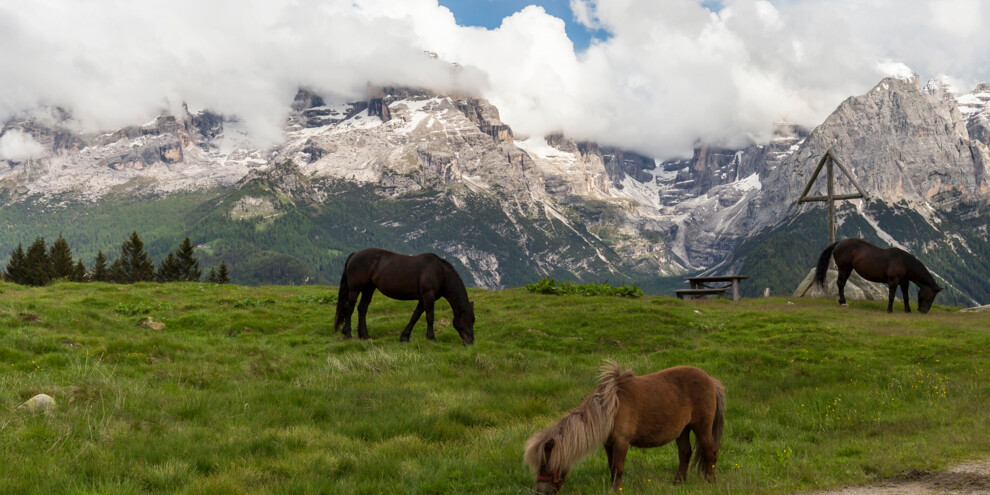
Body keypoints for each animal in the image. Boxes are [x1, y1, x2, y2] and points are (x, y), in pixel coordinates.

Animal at [334, 248, 476, 344]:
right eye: (471, 319)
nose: (470, 341)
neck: (440, 273)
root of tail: (354, 254)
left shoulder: (422, 299)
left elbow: (415, 316)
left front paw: (404, 337)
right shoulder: (428, 296)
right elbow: (430, 317)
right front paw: (431, 338)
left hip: (369, 289)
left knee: (362, 309)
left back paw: (364, 335)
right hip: (355, 289)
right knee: (349, 308)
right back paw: (348, 334)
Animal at [528, 362, 728, 494]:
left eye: (545, 464)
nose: (541, 491)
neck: (610, 410)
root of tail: (711, 380)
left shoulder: (621, 442)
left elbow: (618, 467)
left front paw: (616, 489)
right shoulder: (609, 444)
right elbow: (611, 467)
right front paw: (612, 488)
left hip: (701, 427)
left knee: (710, 451)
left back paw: (710, 482)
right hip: (683, 430)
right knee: (685, 453)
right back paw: (677, 482)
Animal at [816, 237, 948, 314]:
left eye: (933, 297)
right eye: (930, 295)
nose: (923, 311)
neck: (904, 263)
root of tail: (839, 243)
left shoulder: (905, 282)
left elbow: (906, 296)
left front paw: (908, 310)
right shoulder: (893, 281)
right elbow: (891, 296)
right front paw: (889, 310)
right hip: (845, 268)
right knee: (841, 283)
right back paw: (843, 302)